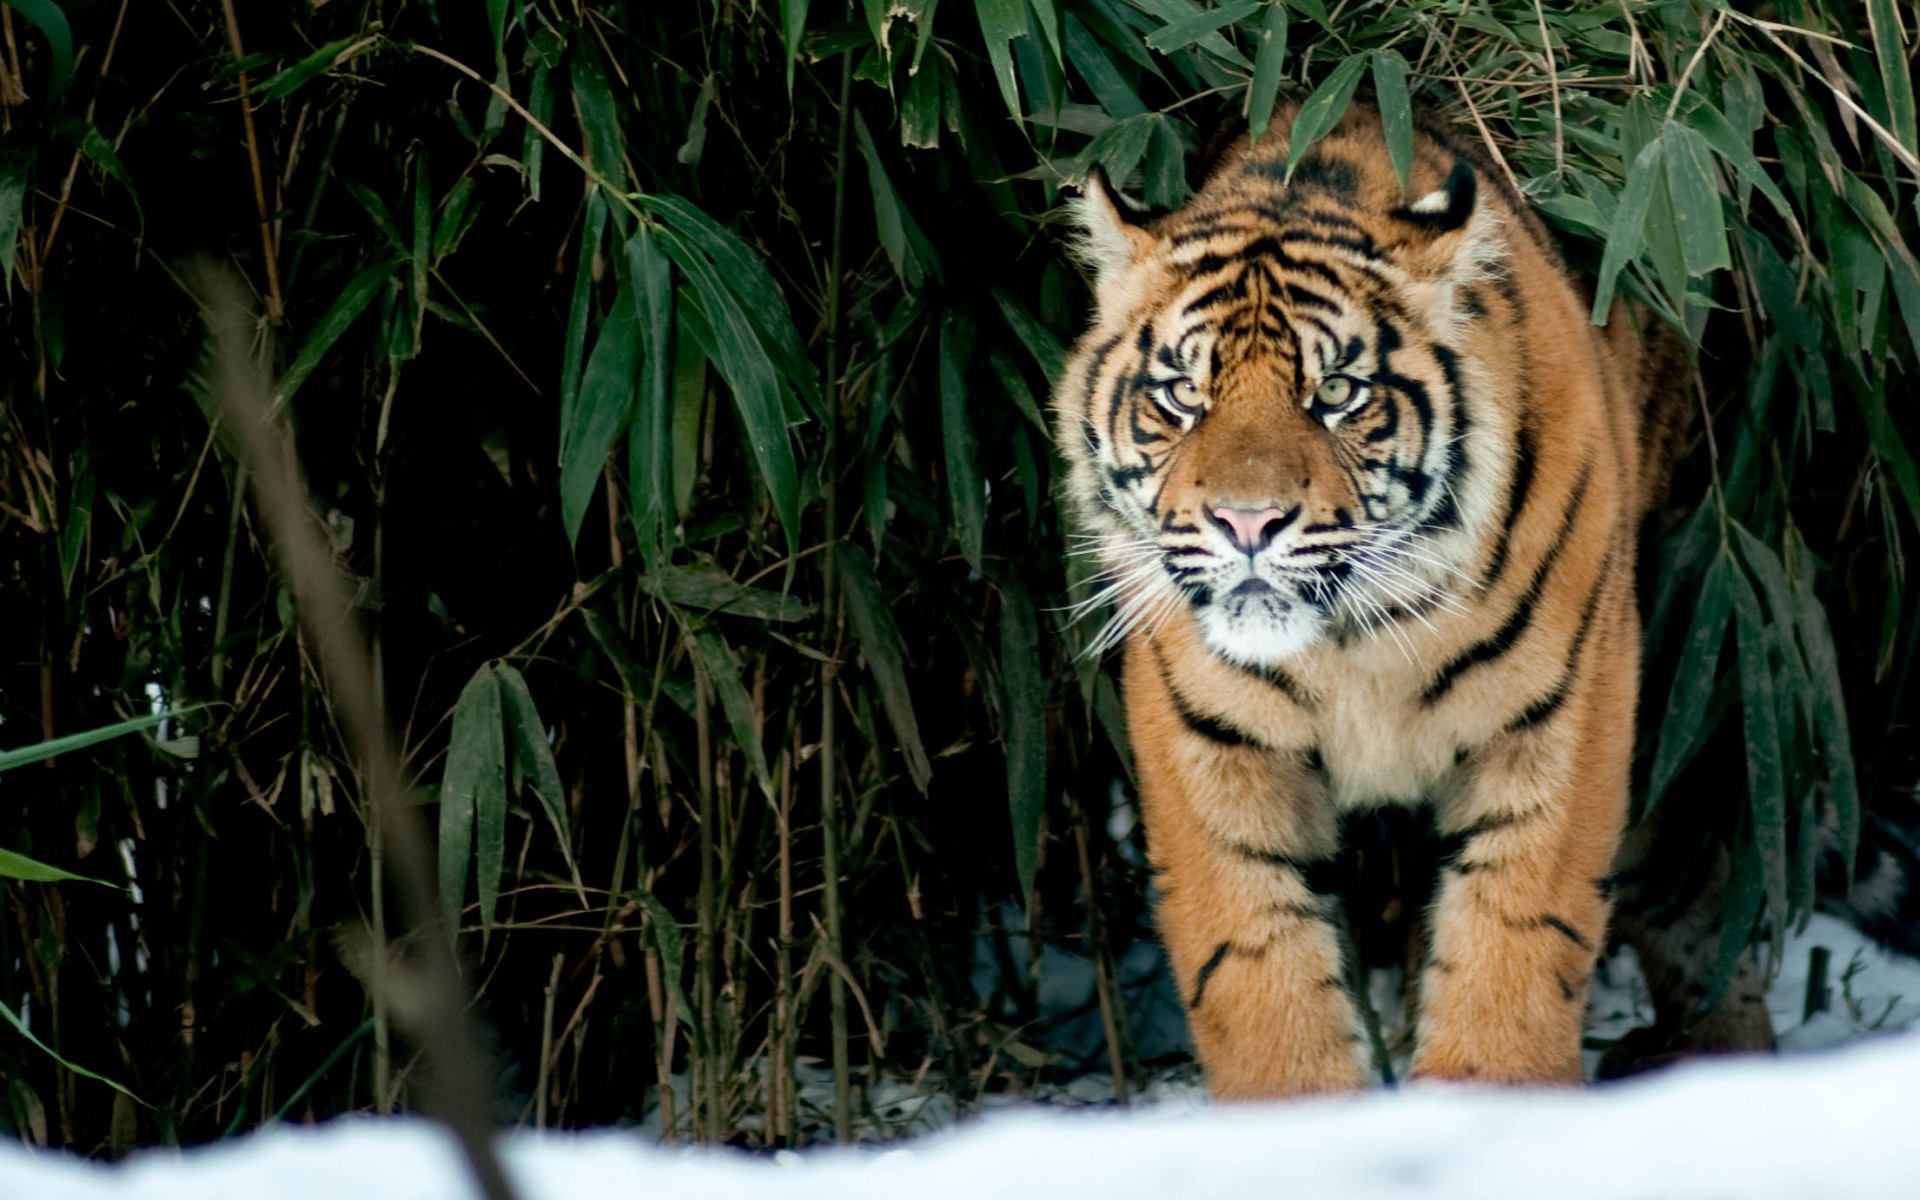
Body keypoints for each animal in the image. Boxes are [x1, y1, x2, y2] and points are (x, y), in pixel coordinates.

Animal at [1052, 100, 1697, 1098]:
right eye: (1183, 396)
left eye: (1337, 393)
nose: (1246, 521)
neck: (1354, 640)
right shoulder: (1208, 746)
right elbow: (1256, 969)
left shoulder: (1562, 719)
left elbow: (1515, 943)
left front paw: (1492, 1097)